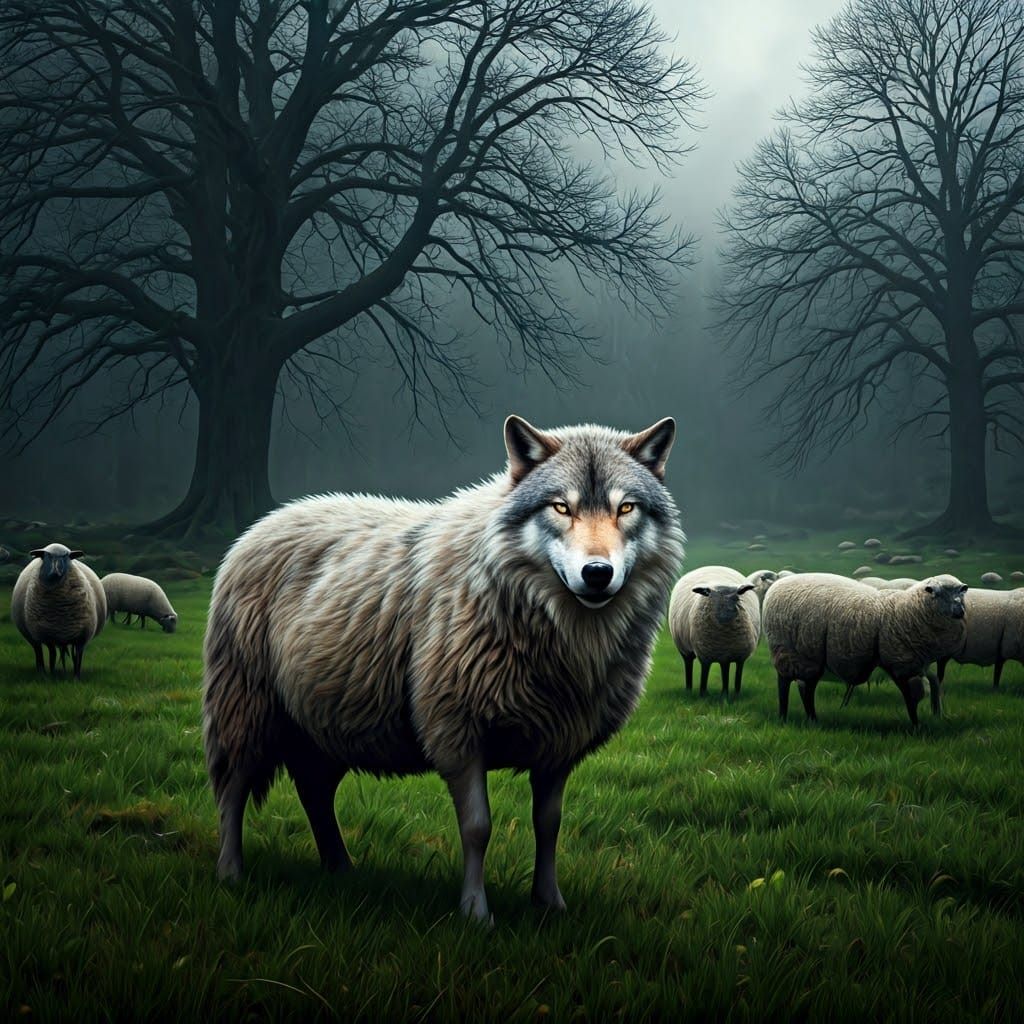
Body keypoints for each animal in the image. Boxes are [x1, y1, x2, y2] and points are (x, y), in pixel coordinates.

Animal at [10, 543, 106, 677]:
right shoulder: (48, 635)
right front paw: (51, 674)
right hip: (32, 636)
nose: (56, 571)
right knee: (38, 651)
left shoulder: (82, 636)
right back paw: (41, 671)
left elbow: (78, 657)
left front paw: (76, 676)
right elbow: (52, 656)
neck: (60, 610)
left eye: (66, 556)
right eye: (47, 555)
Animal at [203, 415, 684, 919]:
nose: (596, 573)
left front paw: (550, 903)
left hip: (326, 725)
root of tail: (270, 518)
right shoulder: (457, 730)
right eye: (560, 507)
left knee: (315, 792)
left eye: (626, 508)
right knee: (231, 789)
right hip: (245, 708)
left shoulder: (558, 742)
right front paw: (475, 912)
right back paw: (231, 873)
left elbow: (549, 825)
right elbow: (477, 827)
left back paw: (341, 869)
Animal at [669, 566, 760, 696]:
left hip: (724, 655)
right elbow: (704, 674)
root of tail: (712, 566)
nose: (726, 615)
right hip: (684, 648)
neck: (724, 635)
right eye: (710, 595)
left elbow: (736, 676)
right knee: (688, 664)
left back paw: (724, 692)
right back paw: (689, 688)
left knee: (725, 667)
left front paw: (733, 694)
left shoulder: (739, 656)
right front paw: (703, 694)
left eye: (737, 596)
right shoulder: (705, 655)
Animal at [762, 572, 966, 725]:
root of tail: (775, 587)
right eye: (938, 593)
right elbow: (910, 699)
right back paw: (784, 717)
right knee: (785, 685)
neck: (907, 610)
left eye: (961, 592)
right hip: (791, 653)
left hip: (811, 658)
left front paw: (918, 724)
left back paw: (812, 719)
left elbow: (917, 695)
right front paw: (916, 726)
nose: (960, 611)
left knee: (807, 688)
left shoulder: (914, 667)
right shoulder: (899, 664)